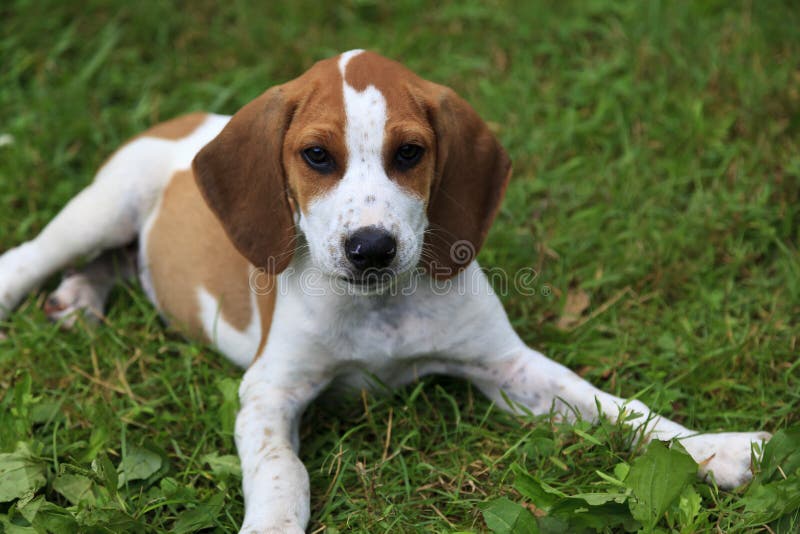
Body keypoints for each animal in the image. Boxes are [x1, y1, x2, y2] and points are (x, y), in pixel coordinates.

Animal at [1, 51, 776, 534]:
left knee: (119, 262)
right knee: (37, 253)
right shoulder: (268, 392)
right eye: (316, 156)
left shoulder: (510, 369)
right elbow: (282, 473)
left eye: (410, 153)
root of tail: (190, 122)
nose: (371, 247)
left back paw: (82, 296)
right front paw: (272, 521)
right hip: (102, 206)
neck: (379, 308)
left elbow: (619, 410)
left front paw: (717, 449)